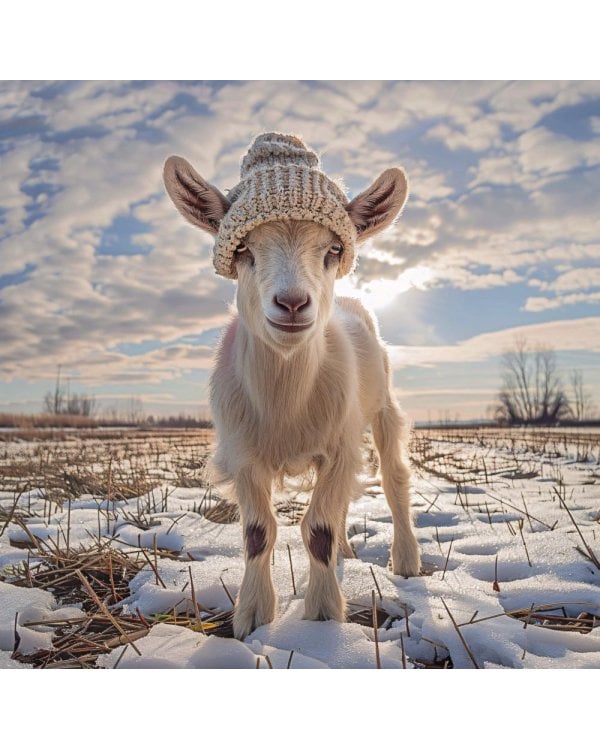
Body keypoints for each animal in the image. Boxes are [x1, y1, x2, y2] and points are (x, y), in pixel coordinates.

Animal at [164, 134, 421, 640]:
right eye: (244, 249)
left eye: (334, 250)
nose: (292, 303)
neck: (285, 395)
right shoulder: (244, 453)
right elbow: (258, 532)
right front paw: (251, 615)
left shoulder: (339, 445)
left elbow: (318, 529)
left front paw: (322, 615)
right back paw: (348, 554)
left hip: (381, 405)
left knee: (393, 477)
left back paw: (405, 560)